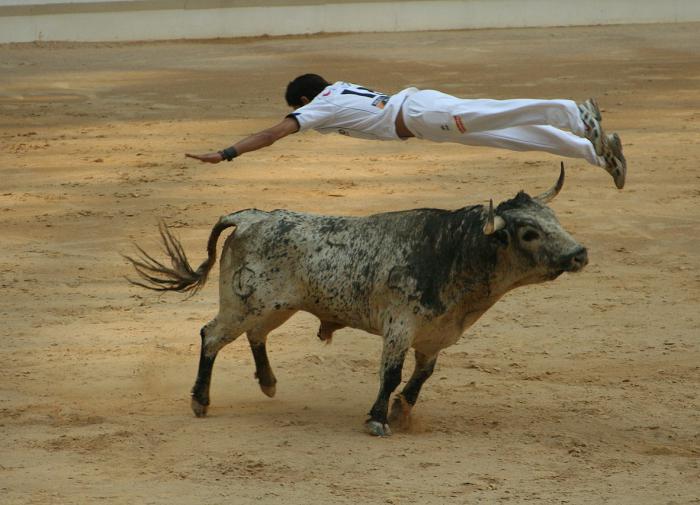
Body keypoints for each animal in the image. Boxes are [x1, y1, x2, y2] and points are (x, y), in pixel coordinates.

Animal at [126, 163, 584, 436]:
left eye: (554, 219)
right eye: (529, 233)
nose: (579, 253)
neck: (451, 253)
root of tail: (250, 216)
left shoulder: (435, 337)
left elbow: (422, 377)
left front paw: (401, 412)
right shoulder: (399, 329)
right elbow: (391, 375)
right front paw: (378, 419)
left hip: (276, 307)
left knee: (255, 335)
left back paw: (269, 383)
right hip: (242, 305)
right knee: (211, 335)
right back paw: (200, 401)